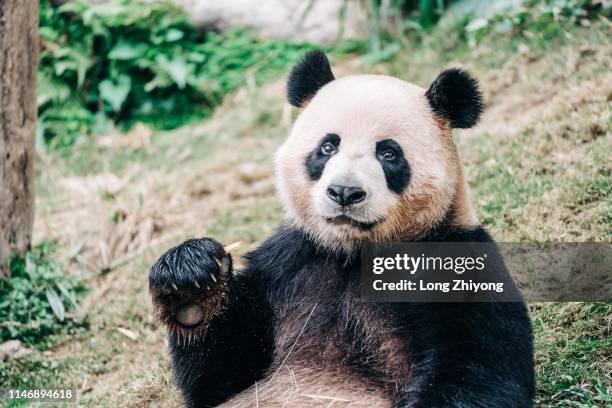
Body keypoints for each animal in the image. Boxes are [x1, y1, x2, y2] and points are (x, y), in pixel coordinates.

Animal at [149, 49, 536, 406]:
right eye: (327, 146)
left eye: (389, 153)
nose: (345, 192)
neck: (353, 254)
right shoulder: (288, 262)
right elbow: (222, 374)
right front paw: (191, 279)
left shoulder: (457, 262)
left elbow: (479, 371)